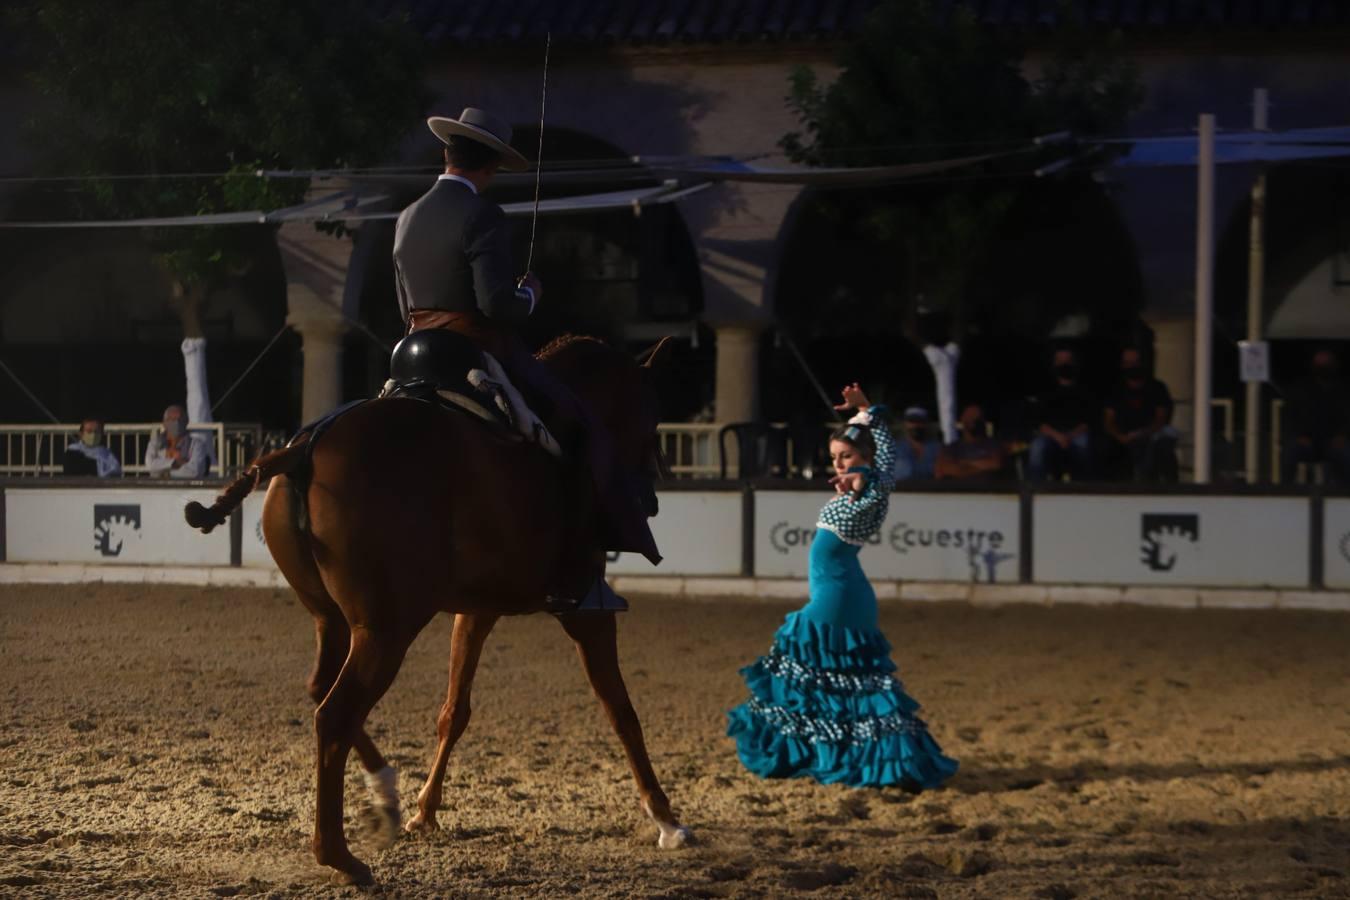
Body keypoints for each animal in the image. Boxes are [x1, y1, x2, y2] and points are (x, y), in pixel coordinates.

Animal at [184, 334, 691, 885]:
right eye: (651, 419)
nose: (652, 500)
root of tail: (303, 449)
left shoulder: (477, 612)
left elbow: (454, 711)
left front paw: (425, 810)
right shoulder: (587, 613)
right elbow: (622, 711)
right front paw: (666, 818)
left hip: (334, 622)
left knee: (323, 692)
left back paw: (384, 794)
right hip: (386, 630)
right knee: (335, 715)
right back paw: (339, 854)